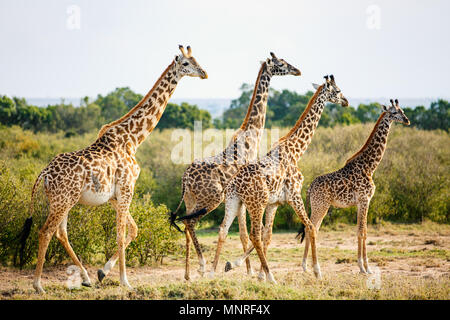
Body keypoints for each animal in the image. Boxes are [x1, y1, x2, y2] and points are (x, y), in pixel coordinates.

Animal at [17, 45, 207, 296]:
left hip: (63, 200)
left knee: (60, 232)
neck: (134, 138)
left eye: (196, 59)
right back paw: (38, 285)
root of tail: (44, 174)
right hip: (63, 200)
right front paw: (125, 282)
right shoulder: (127, 188)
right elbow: (120, 234)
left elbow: (133, 230)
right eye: (186, 63)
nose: (204, 73)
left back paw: (85, 277)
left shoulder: (115, 196)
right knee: (46, 231)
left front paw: (102, 272)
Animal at [171, 52, 300, 280]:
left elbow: (242, 233)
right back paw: (202, 266)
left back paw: (187, 274)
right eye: (282, 63)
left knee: (186, 226)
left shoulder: (237, 197)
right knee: (190, 223)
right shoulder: (243, 195)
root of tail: (185, 179)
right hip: (210, 199)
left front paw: (246, 269)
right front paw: (249, 271)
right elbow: (245, 232)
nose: (297, 70)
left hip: (190, 200)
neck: (252, 137)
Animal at [223, 75, 350, 282]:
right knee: (254, 234)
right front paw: (317, 271)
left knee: (247, 233)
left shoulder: (275, 203)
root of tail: (234, 185)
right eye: (337, 90)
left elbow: (269, 235)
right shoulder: (294, 195)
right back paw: (273, 277)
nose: (346, 101)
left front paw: (251, 272)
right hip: (256, 203)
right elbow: (310, 227)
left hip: (241, 202)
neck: (296, 151)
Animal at [298, 99, 412, 274]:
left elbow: (362, 230)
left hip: (318, 206)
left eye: (403, 111)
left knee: (311, 228)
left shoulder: (361, 202)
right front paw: (365, 268)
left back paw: (307, 266)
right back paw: (308, 267)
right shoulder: (365, 199)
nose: (407, 120)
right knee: (311, 229)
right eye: (393, 112)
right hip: (321, 205)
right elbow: (362, 232)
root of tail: (309, 188)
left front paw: (363, 266)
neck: (370, 166)